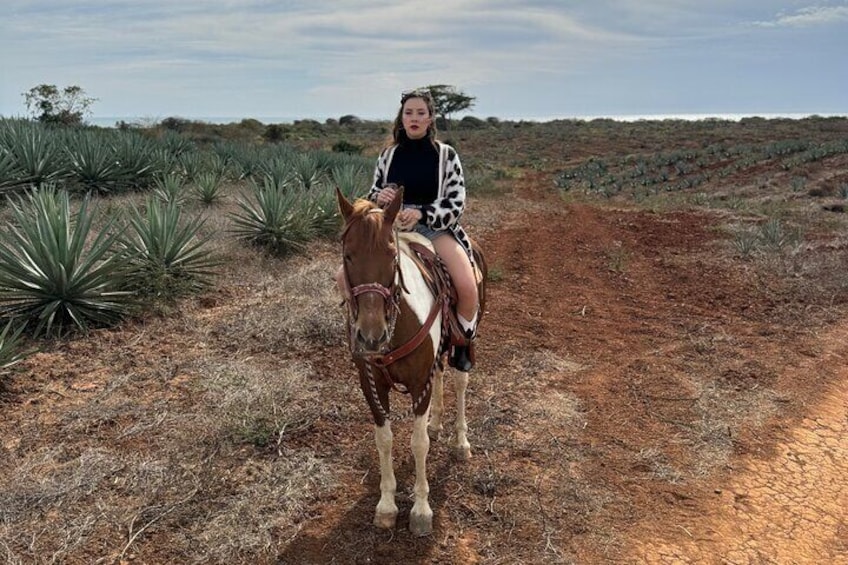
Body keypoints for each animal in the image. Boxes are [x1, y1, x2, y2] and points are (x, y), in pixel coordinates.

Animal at [336, 187, 486, 536]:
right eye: (348, 255)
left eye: (392, 257)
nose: (371, 336)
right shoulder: (371, 385)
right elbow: (384, 439)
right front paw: (386, 505)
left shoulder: (419, 383)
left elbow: (418, 444)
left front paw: (420, 510)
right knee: (441, 375)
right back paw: (436, 423)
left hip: (466, 340)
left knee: (460, 382)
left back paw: (461, 442)